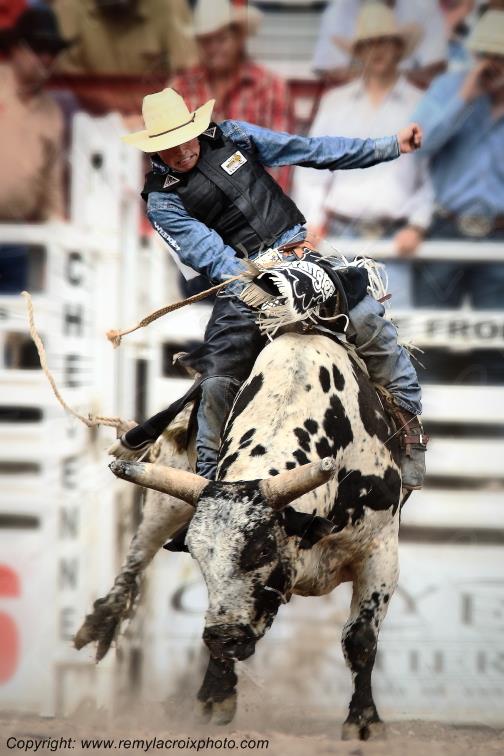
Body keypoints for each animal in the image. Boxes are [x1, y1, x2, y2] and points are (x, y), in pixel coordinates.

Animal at [75, 330, 403, 741]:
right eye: (197, 554)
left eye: (262, 550)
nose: (224, 636)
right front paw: (215, 697)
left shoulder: (380, 549)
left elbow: (360, 638)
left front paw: (363, 721)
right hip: (165, 496)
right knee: (138, 554)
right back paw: (101, 623)